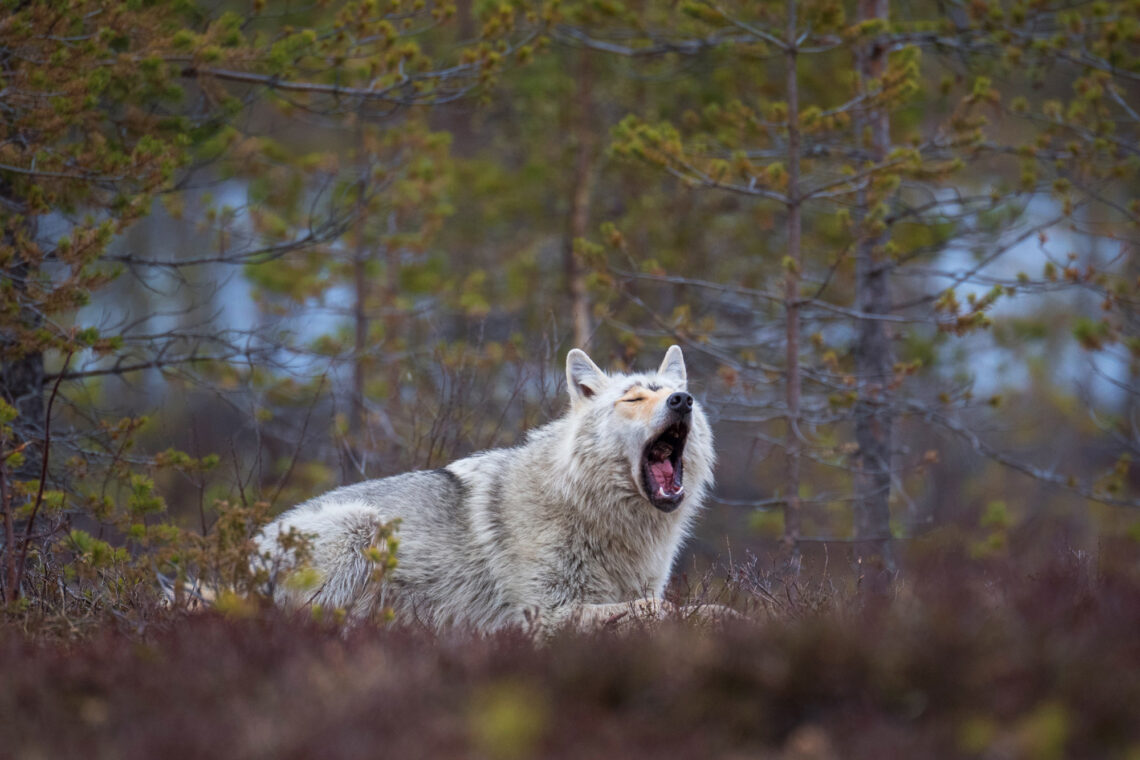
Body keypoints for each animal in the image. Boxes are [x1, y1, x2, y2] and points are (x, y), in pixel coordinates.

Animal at [256, 348, 711, 633]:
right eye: (633, 398)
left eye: (675, 394)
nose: (682, 399)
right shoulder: (539, 614)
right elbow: (656, 608)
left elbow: (696, 607)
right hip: (361, 526)